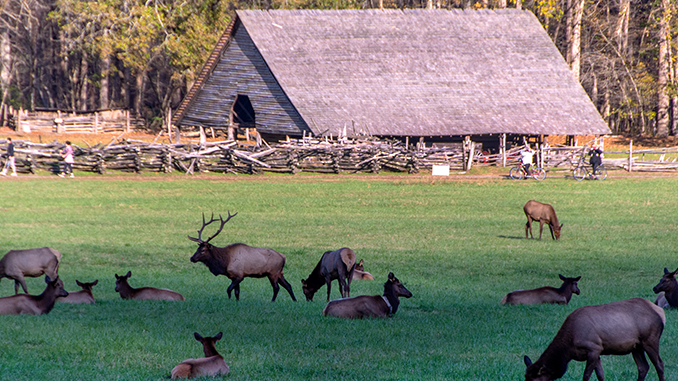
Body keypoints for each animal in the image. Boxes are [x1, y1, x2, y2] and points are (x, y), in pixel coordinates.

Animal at [528, 296, 668, 380]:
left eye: (534, 379)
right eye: (525, 377)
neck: (568, 350)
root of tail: (660, 312)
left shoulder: (593, 348)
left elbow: (586, 375)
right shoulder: (597, 351)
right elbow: (601, 375)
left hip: (650, 340)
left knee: (659, 364)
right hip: (636, 346)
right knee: (643, 367)